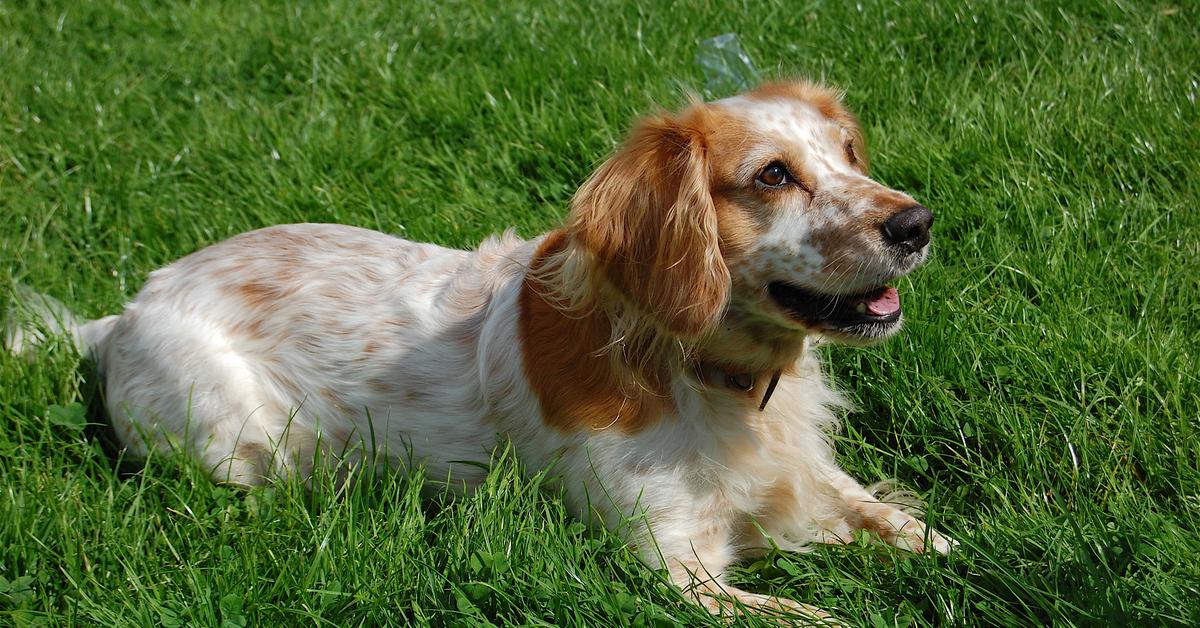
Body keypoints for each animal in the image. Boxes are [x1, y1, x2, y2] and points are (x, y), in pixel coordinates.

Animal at [9, 81, 950, 619]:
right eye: (772, 176)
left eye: (848, 152)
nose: (917, 223)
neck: (701, 373)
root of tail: (124, 312)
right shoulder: (675, 568)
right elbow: (821, 616)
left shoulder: (807, 480)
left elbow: (910, 527)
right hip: (232, 438)